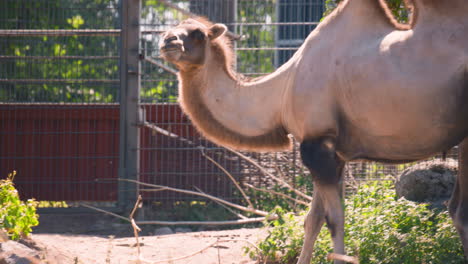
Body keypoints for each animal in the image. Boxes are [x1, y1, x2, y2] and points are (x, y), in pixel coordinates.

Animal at [160, 0, 468, 262]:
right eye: (172, 28)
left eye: (198, 34)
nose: (166, 41)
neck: (281, 92)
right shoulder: (332, 149)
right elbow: (313, 219)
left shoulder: (316, 143)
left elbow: (335, 219)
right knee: (457, 210)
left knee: (459, 211)